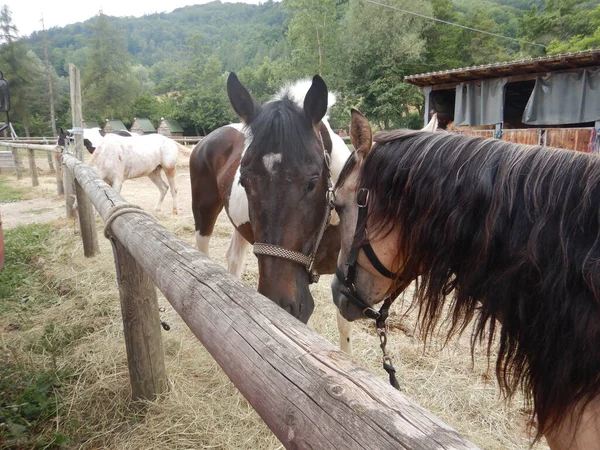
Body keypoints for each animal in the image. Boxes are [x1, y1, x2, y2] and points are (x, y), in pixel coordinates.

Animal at [58, 128, 190, 216]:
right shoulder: (107, 182)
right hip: (153, 172)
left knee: (173, 189)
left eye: (65, 140)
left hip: (169, 169)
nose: (61, 151)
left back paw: (175, 211)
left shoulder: (117, 181)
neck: (105, 154)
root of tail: (170, 141)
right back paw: (156, 210)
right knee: (163, 188)